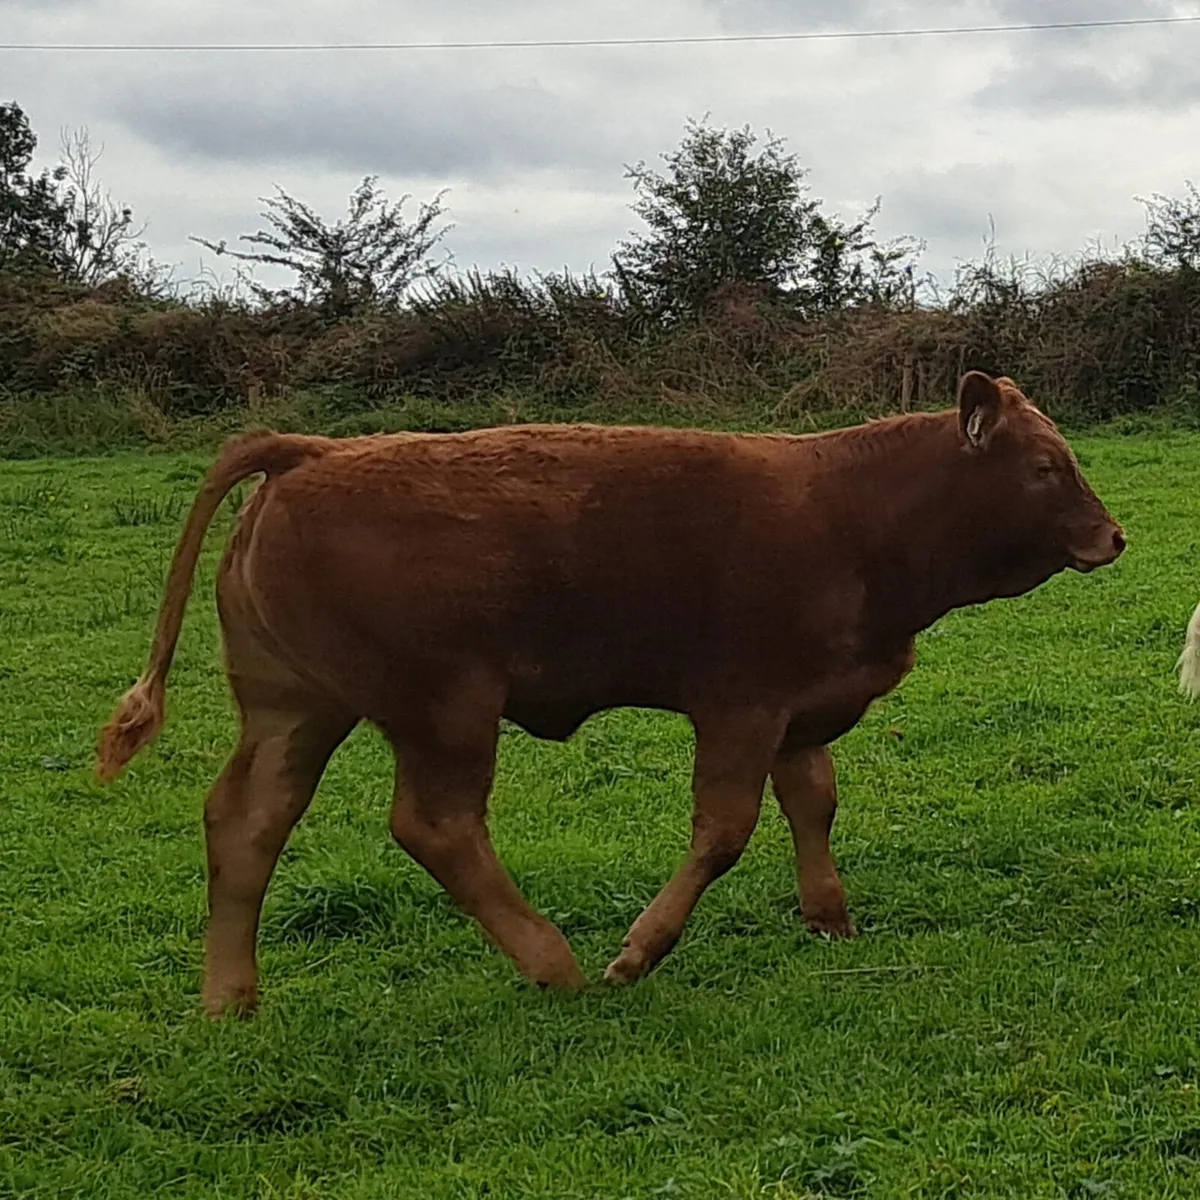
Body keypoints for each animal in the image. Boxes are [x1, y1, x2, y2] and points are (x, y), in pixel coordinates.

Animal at [95, 371, 1125, 1018]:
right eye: (1044, 466)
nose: (1113, 537)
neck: (849, 509)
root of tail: (311, 452)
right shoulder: (740, 707)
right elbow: (725, 831)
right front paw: (639, 951)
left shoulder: (801, 711)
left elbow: (814, 805)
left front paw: (829, 919)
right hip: (445, 710)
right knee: (436, 827)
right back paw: (553, 963)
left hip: (298, 707)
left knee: (247, 821)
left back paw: (230, 998)